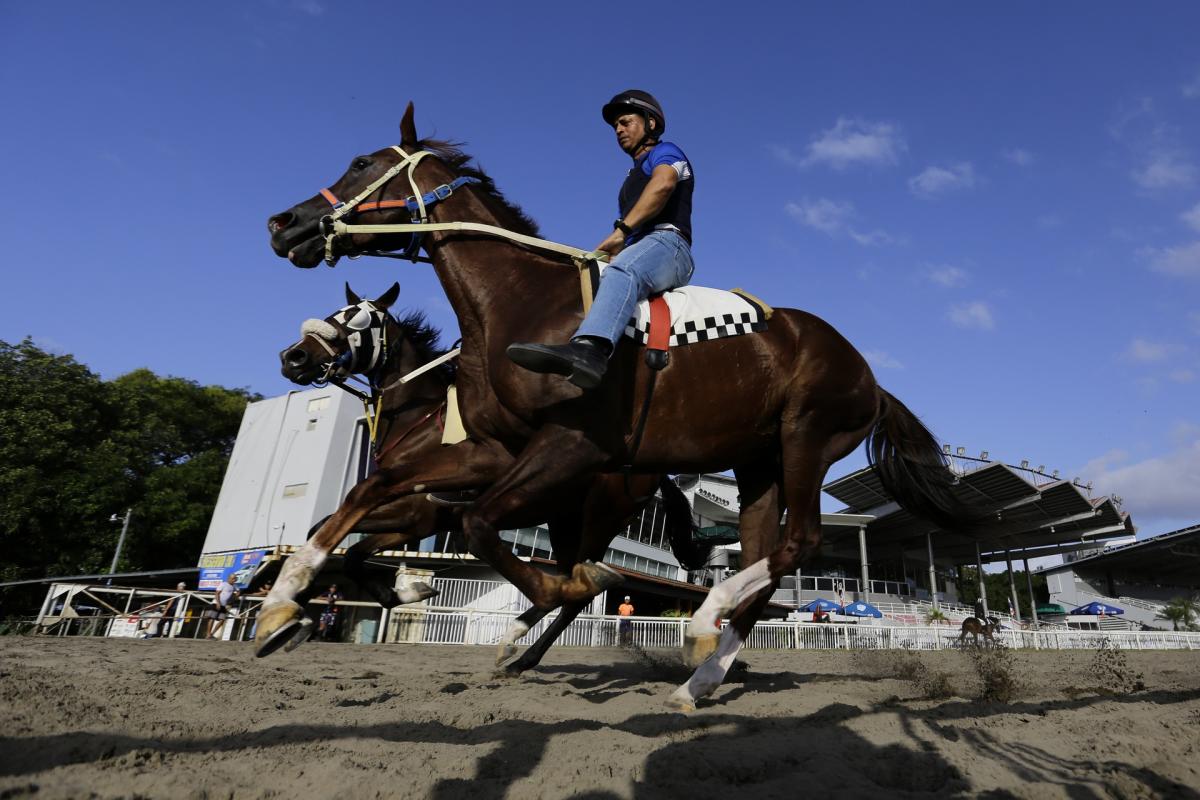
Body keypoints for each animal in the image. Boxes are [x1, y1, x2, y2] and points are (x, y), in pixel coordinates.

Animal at [261, 281, 696, 671]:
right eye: (334, 314)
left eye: (357, 320)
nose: (293, 357)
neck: (417, 419)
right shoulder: (418, 522)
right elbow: (346, 548)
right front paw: (403, 592)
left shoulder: (415, 512)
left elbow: (340, 536)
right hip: (564, 521)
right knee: (570, 582)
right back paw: (518, 640)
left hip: (597, 523)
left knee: (577, 594)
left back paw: (524, 655)